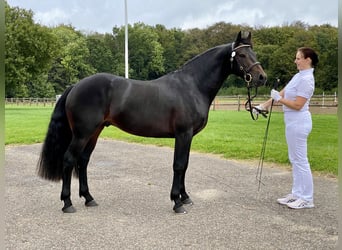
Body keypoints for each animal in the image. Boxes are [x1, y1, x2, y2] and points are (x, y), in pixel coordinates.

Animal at [37, 30, 268, 213]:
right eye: (242, 54)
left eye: (254, 53)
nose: (262, 77)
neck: (192, 86)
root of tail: (76, 86)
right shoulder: (183, 134)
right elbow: (179, 165)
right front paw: (177, 202)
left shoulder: (188, 136)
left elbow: (185, 165)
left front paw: (185, 197)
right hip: (82, 133)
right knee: (69, 160)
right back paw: (67, 203)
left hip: (94, 132)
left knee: (83, 161)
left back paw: (89, 198)